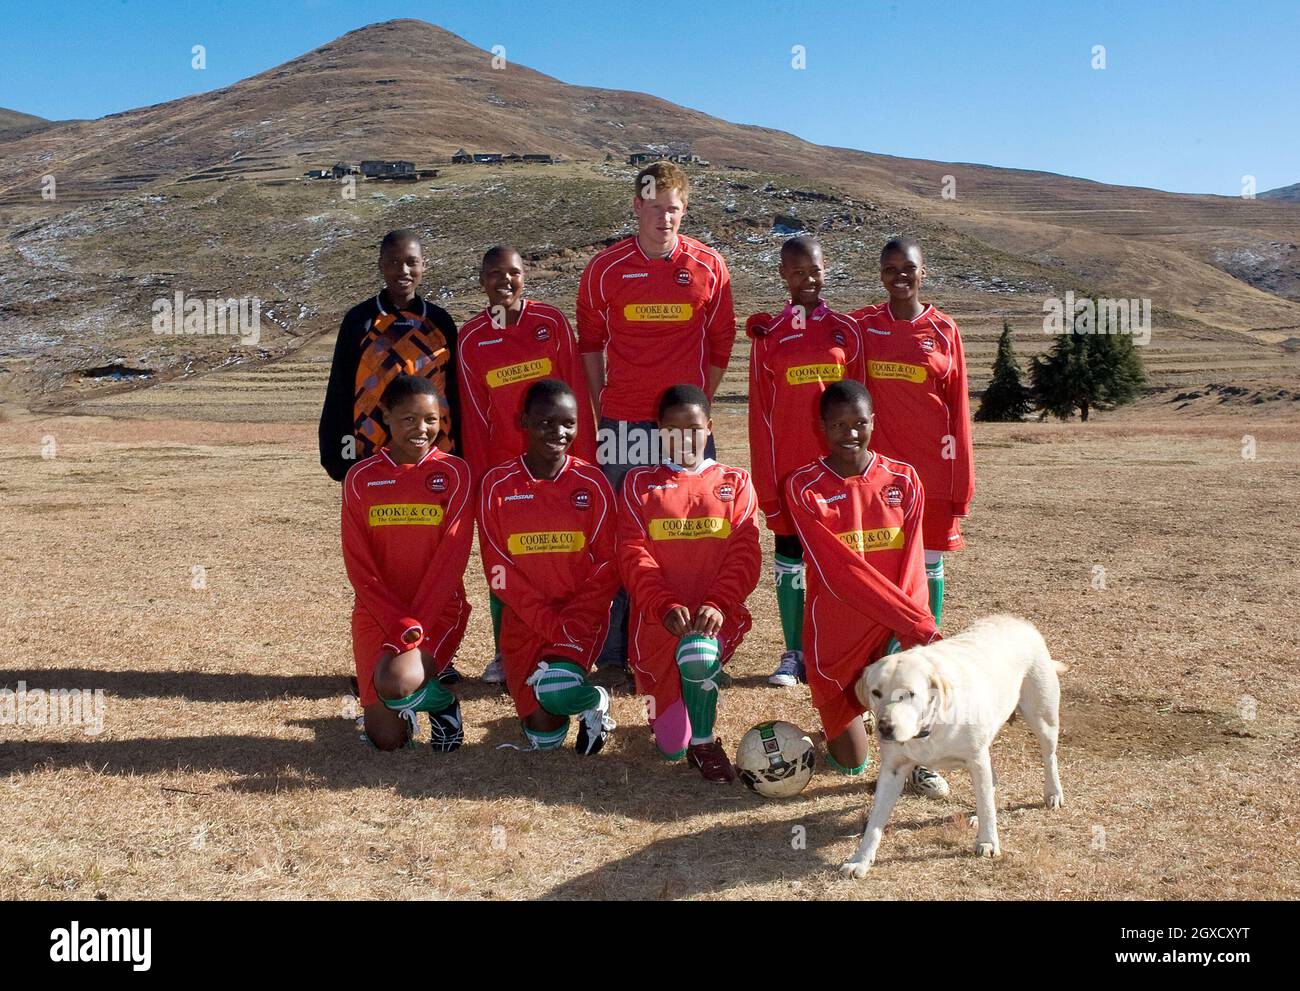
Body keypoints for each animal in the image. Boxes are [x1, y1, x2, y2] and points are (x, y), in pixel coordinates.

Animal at [842, 613, 1066, 873]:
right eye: (876, 692)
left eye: (909, 694)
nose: (885, 728)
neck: (927, 729)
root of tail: (1017, 620)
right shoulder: (893, 770)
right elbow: (874, 822)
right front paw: (860, 859)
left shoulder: (976, 759)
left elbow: (987, 804)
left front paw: (988, 842)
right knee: (993, 779)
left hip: (1042, 720)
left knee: (1048, 757)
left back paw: (1053, 793)